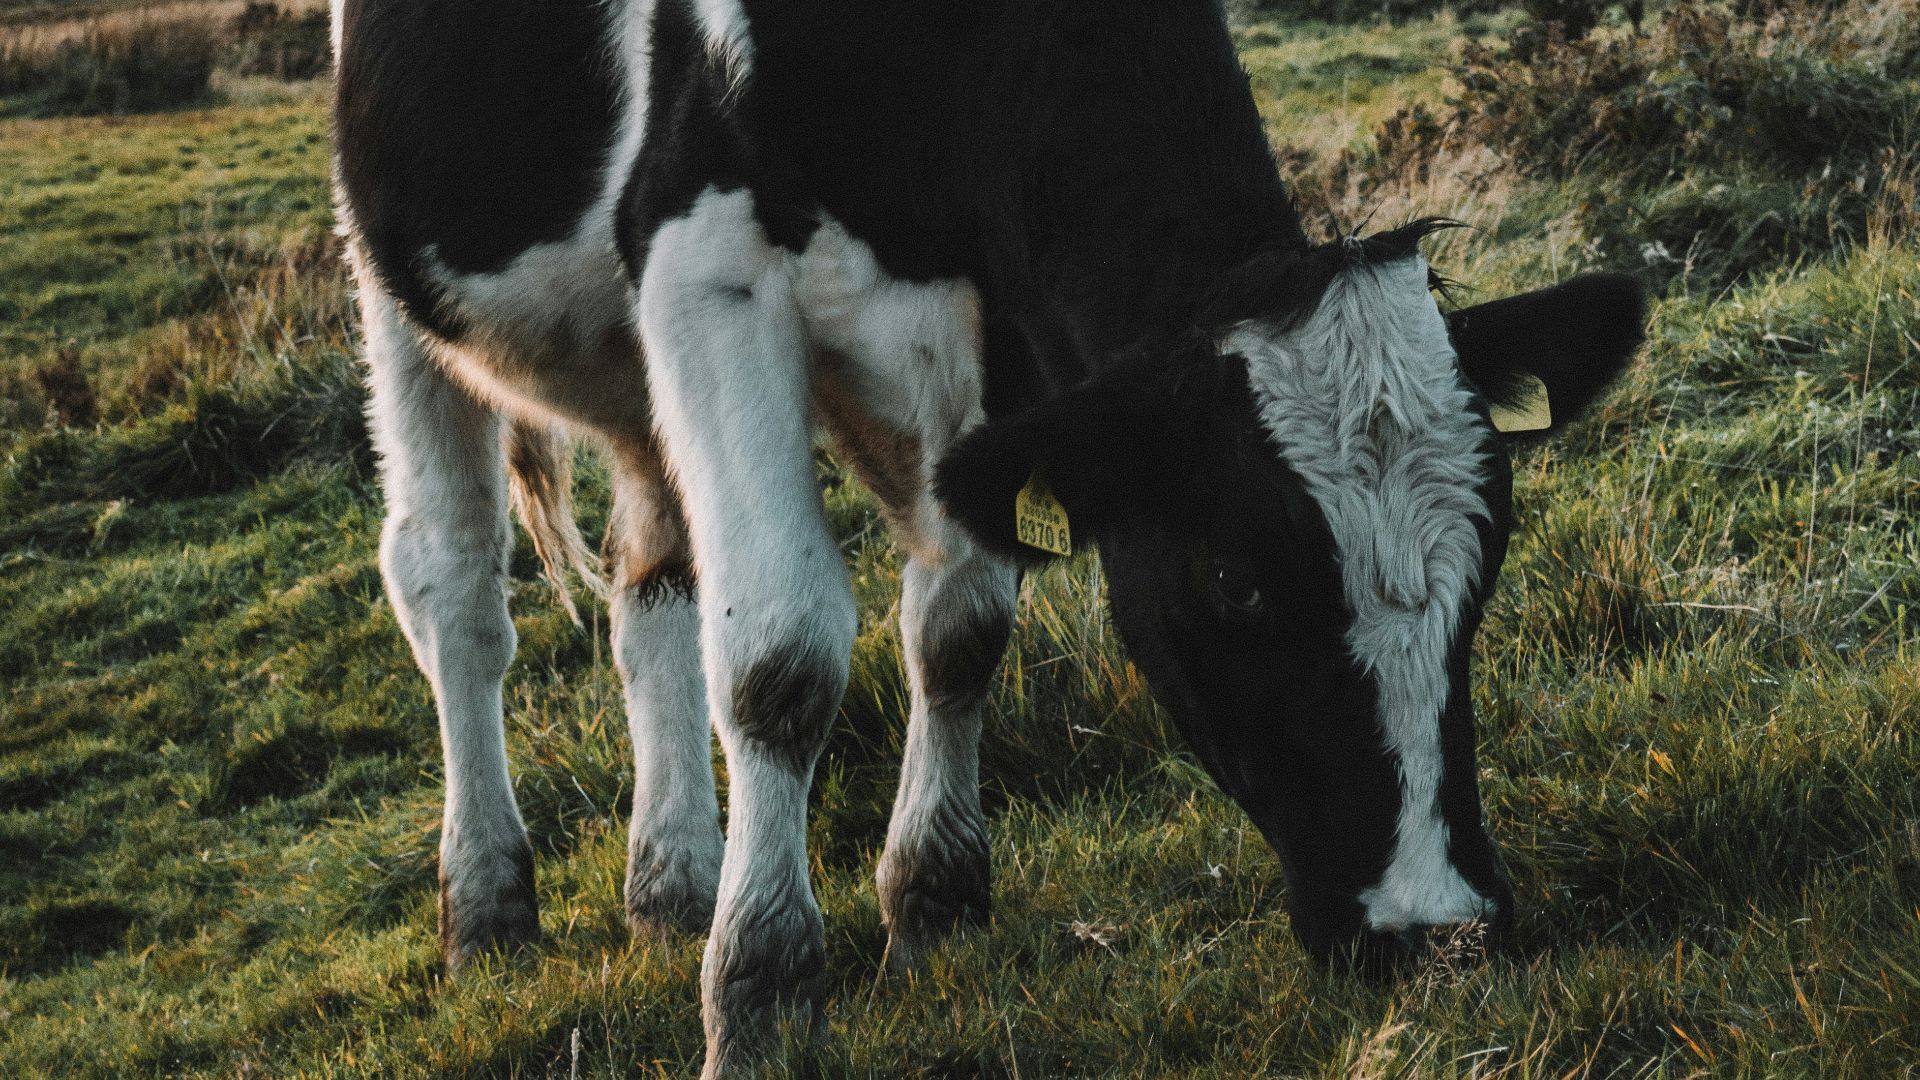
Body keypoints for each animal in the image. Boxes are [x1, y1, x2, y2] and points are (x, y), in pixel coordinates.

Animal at [331, 0, 1647, 1074]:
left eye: (1490, 556)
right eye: (1234, 579)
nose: (1438, 932)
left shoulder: (1000, 317)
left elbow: (962, 625)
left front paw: (931, 897)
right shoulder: (707, 264)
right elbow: (780, 659)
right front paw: (762, 991)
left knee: (653, 576)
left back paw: (671, 882)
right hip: (393, 286)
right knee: (453, 588)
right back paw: (489, 902)